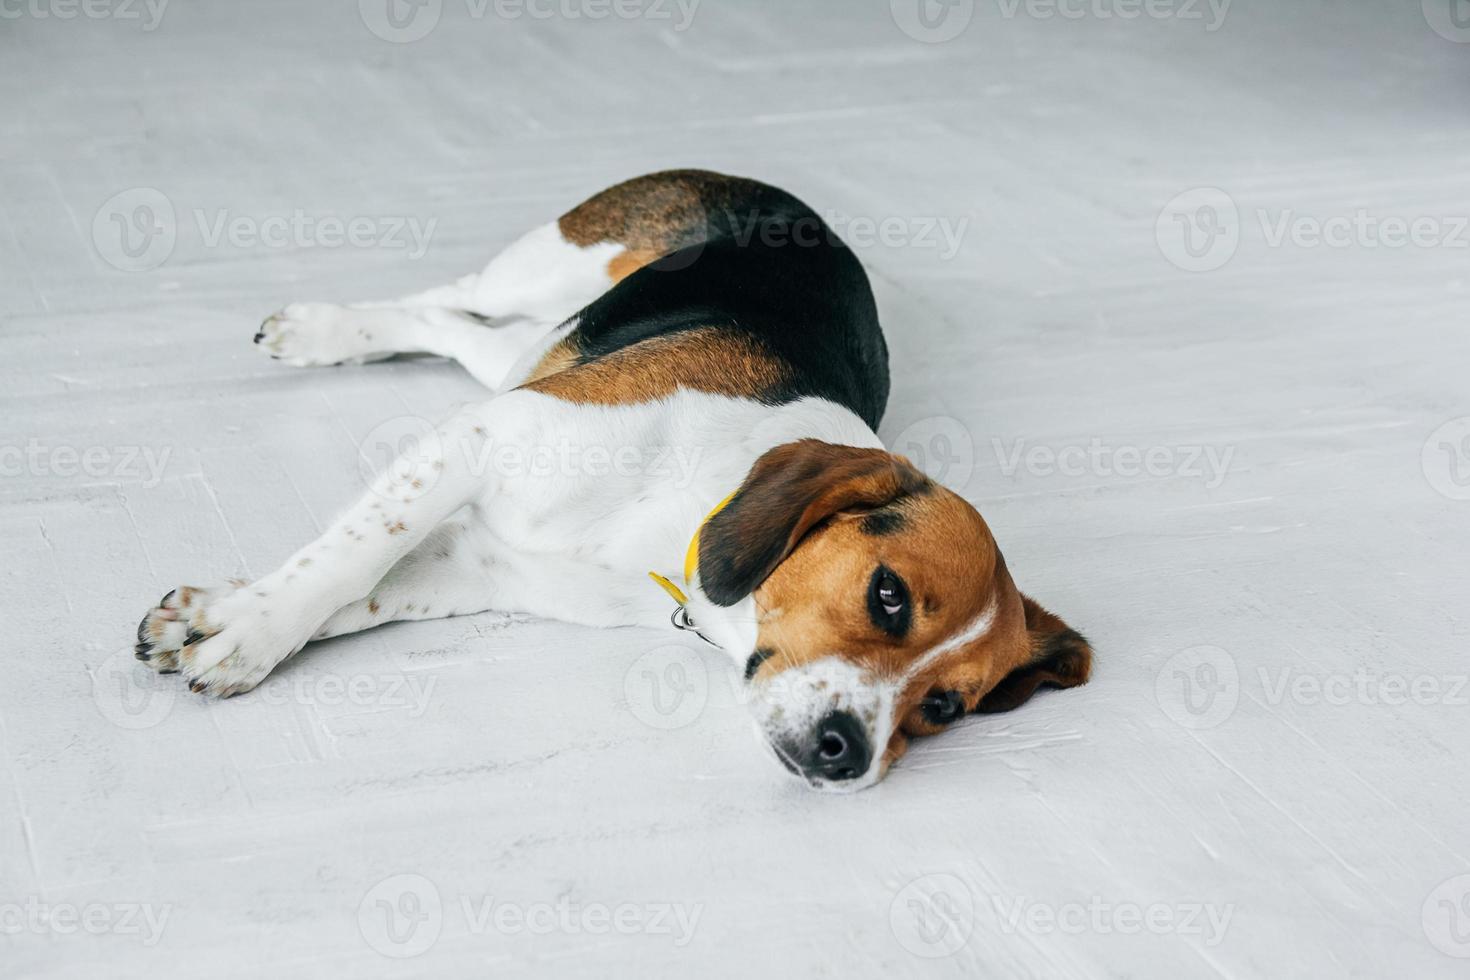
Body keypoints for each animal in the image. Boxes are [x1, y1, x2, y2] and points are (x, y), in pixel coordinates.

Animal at [135, 172, 1093, 793]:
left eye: (943, 708)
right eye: (887, 596)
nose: (846, 751)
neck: (687, 514)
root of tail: (794, 203)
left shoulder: (483, 564)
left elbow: (368, 587)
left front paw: (213, 617)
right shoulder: (479, 440)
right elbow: (344, 561)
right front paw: (250, 632)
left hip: (534, 344)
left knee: (458, 327)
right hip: (552, 263)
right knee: (445, 295)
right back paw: (318, 327)